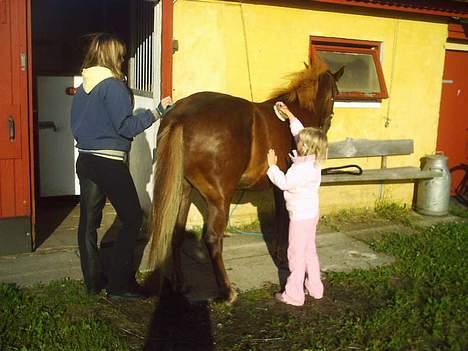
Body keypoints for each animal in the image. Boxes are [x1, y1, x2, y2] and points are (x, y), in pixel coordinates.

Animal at [150, 59, 344, 304]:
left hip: (183, 190)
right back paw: (227, 291)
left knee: (176, 234)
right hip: (219, 198)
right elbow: (284, 218)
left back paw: (180, 283)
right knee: (213, 239)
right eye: (336, 94)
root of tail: (181, 116)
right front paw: (282, 255)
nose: (325, 126)